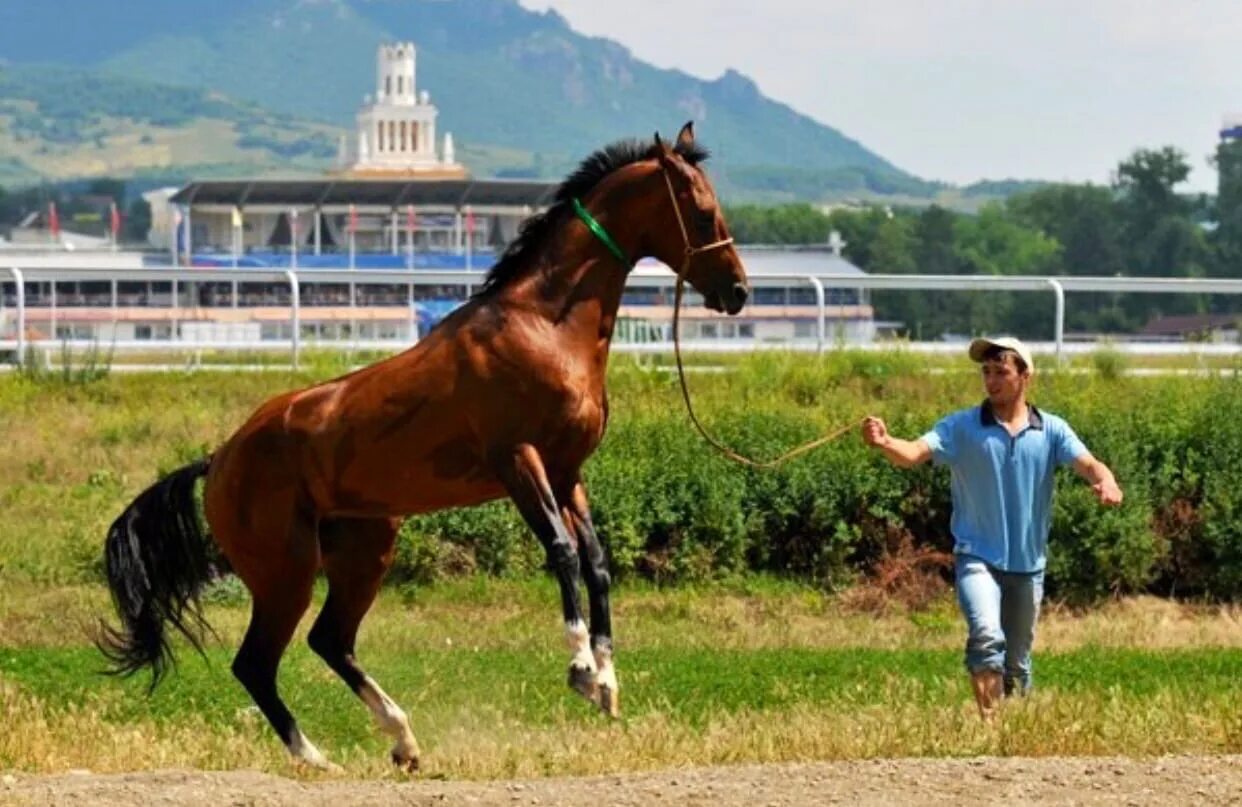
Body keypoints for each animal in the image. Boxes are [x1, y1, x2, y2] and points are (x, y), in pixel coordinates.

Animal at [96, 119, 745, 764]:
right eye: (702, 212)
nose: (737, 291)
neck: (544, 327)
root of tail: (219, 461)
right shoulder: (519, 462)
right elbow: (562, 551)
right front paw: (582, 668)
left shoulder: (567, 470)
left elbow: (597, 560)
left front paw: (607, 681)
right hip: (287, 570)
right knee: (256, 662)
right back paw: (317, 759)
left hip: (364, 550)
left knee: (329, 640)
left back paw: (402, 739)